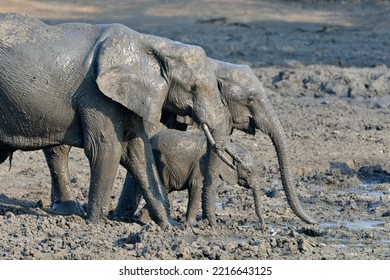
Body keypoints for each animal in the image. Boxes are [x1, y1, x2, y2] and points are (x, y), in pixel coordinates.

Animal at [0, 13, 229, 228]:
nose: (208, 223)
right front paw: (95, 225)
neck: (150, 43)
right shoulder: (95, 94)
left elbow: (137, 150)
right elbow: (106, 148)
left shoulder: (127, 97)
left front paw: (170, 227)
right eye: (193, 88)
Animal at [112, 129, 266, 228]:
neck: (229, 146)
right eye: (249, 171)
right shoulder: (201, 164)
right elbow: (196, 186)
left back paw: (146, 220)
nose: (263, 227)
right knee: (163, 189)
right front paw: (192, 225)